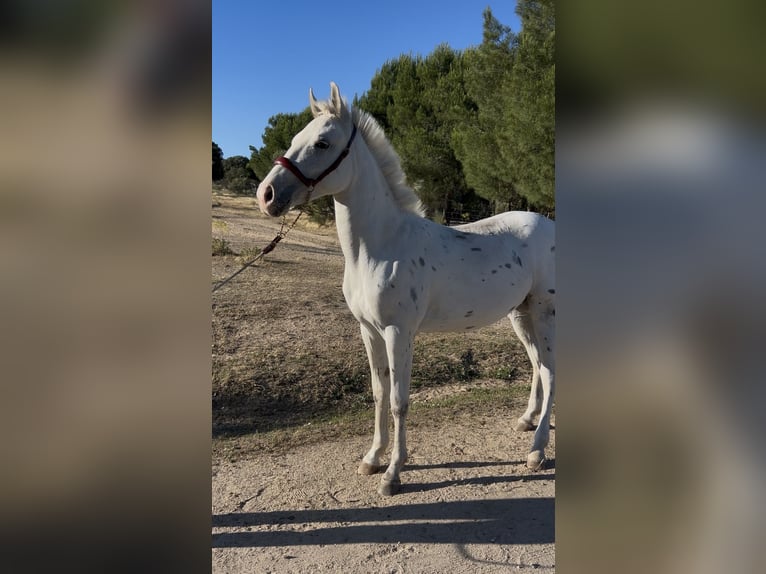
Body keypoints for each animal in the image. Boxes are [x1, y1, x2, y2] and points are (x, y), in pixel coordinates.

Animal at [256, 83, 555, 496]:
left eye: (322, 143)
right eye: (295, 138)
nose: (266, 195)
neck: (381, 246)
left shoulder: (399, 333)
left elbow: (399, 400)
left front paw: (393, 473)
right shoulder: (369, 331)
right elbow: (380, 393)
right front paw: (372, 458)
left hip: (545, 314)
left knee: (550, 371)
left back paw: (537, 450)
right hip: (520, 314)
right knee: (537, 366)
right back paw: (527, 422)